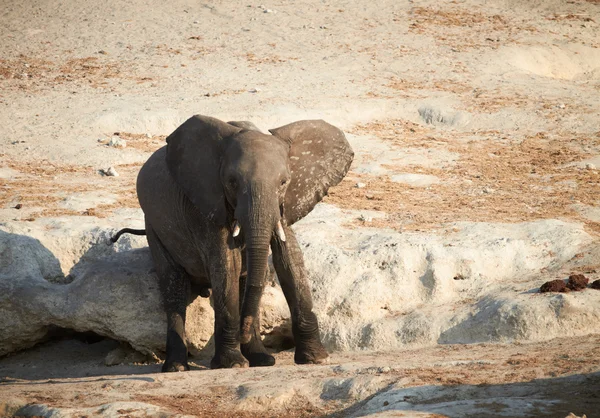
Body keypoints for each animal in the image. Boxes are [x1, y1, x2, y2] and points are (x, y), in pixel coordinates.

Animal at [112, 115, 354, 372]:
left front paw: (316, 359)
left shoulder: (283, 205)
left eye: (284, 182)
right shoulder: (206, 204)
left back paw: (262, 360)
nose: (242, 333)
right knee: (174, 286)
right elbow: (227, 263)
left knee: (245, 279)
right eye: (232, 182)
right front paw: (232, 364)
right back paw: (177, 367)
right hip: (154, 227)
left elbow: (290, 258)